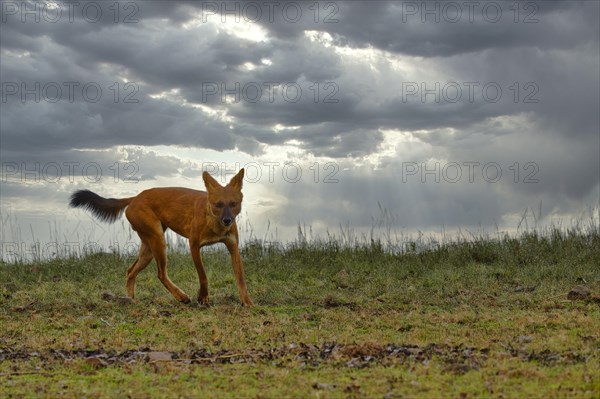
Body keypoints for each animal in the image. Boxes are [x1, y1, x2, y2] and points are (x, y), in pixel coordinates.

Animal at [69, 168, 253, 306]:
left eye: (233, 204)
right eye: (218, 205)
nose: (227, 220)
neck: (215, 224)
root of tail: (135, 197)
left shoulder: (233, 248)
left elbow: (241, 279)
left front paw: (247, 302)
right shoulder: (193, 246)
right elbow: (203, 276)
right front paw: (203, 298)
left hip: (149, 248)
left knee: (130, 271)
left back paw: (131, 300)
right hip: (158, 241)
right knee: (160, 273)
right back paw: (181, 296)